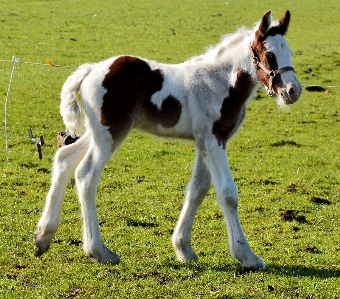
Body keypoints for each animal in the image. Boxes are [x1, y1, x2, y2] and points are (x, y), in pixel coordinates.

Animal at [33, 11, 300, 272]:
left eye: (289, 51)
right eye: (270, 54)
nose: (292, 91)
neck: (220, 81)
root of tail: (90, 69)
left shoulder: (204, 141)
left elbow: (198, 189)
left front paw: (184, 249)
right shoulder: (213, 140)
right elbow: (227, 193)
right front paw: (247, 256)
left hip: (98, 131)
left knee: (65, 159)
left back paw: (42, 238)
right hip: (110, 133)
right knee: (86, 174)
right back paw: (99, 251)